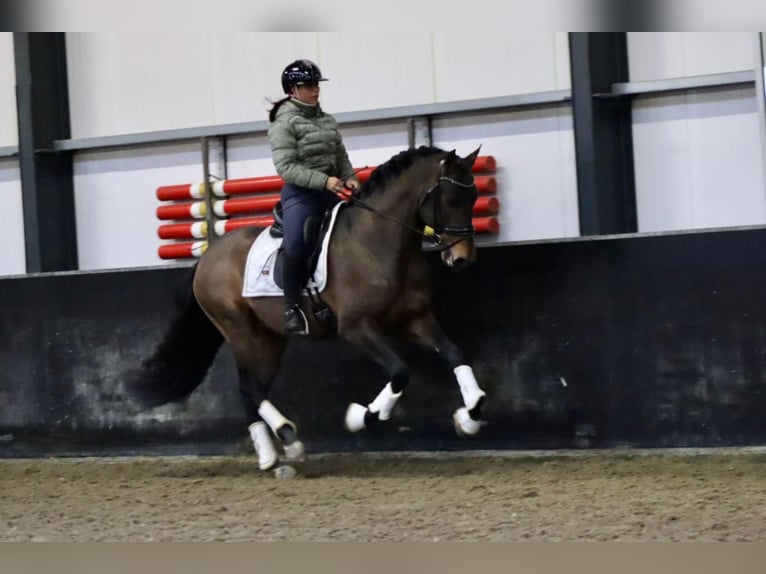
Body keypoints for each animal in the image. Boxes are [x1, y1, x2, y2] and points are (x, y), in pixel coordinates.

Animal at [126, 145, 488, 471]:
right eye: (451, 199)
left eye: (473, 198)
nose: (462, 258)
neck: (377, 243)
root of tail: (207, 258)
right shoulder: (356, 328)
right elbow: (400, 372)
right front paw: (360, 416)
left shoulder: (415, 319)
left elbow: (455, 354)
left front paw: (470, 414)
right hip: (239, 329)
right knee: (249, 387)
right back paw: (286, 438)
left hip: (270, 339)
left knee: (251, 389)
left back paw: (273, 455)